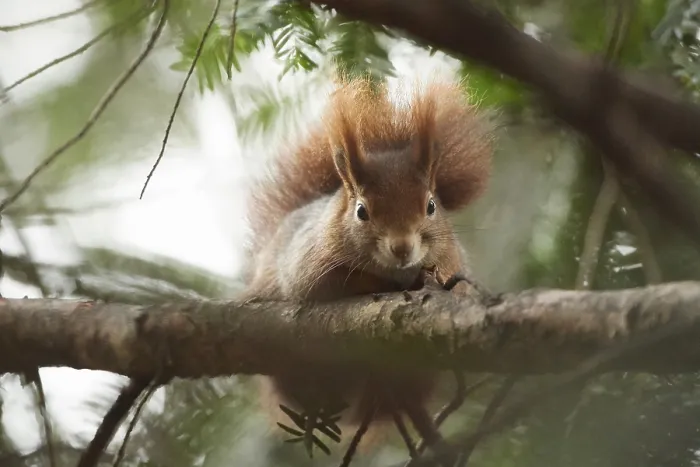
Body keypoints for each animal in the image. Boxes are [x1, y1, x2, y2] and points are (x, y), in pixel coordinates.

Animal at [239, 77, 494, 462]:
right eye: (362, 211)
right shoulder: (308, 265)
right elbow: (333, 284)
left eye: (431, 206)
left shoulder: (451, 262)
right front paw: (386, 282)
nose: (402, 248)